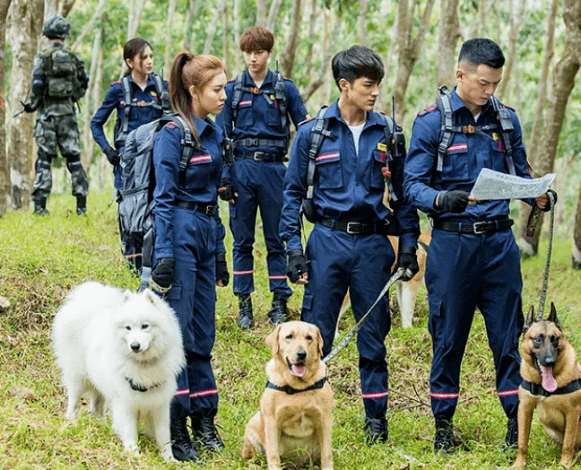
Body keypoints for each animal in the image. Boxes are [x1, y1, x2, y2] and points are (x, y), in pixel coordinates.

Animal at [52, 280, 185, 460]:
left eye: (145, 326)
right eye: (128, 328)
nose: (134, 346)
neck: (144, 365)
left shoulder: (160, 404)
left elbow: (164, 436)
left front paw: (169, 459)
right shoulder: (126, 402)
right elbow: (130, 431)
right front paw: (134, 454)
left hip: (100, 382)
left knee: (97, 405)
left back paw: (101, 425)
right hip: (78, 377)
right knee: (73, 400)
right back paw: (71, 419)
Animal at [242, 322, 334, 470]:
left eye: (309, 338)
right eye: (289, 336)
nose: (302, 354)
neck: (299, 387)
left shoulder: (324, 420)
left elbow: (327, 455)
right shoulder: (272, 422)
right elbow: (273, 455)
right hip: (254, 424)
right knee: (251, 457)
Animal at [512, 302, 580, 468]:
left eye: (555, 339)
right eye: (537, 339)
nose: (550, 362)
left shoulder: (573, 412)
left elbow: (568, 444)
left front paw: (564, 465)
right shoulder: (524, 409)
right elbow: (522, 442)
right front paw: (519, 464)